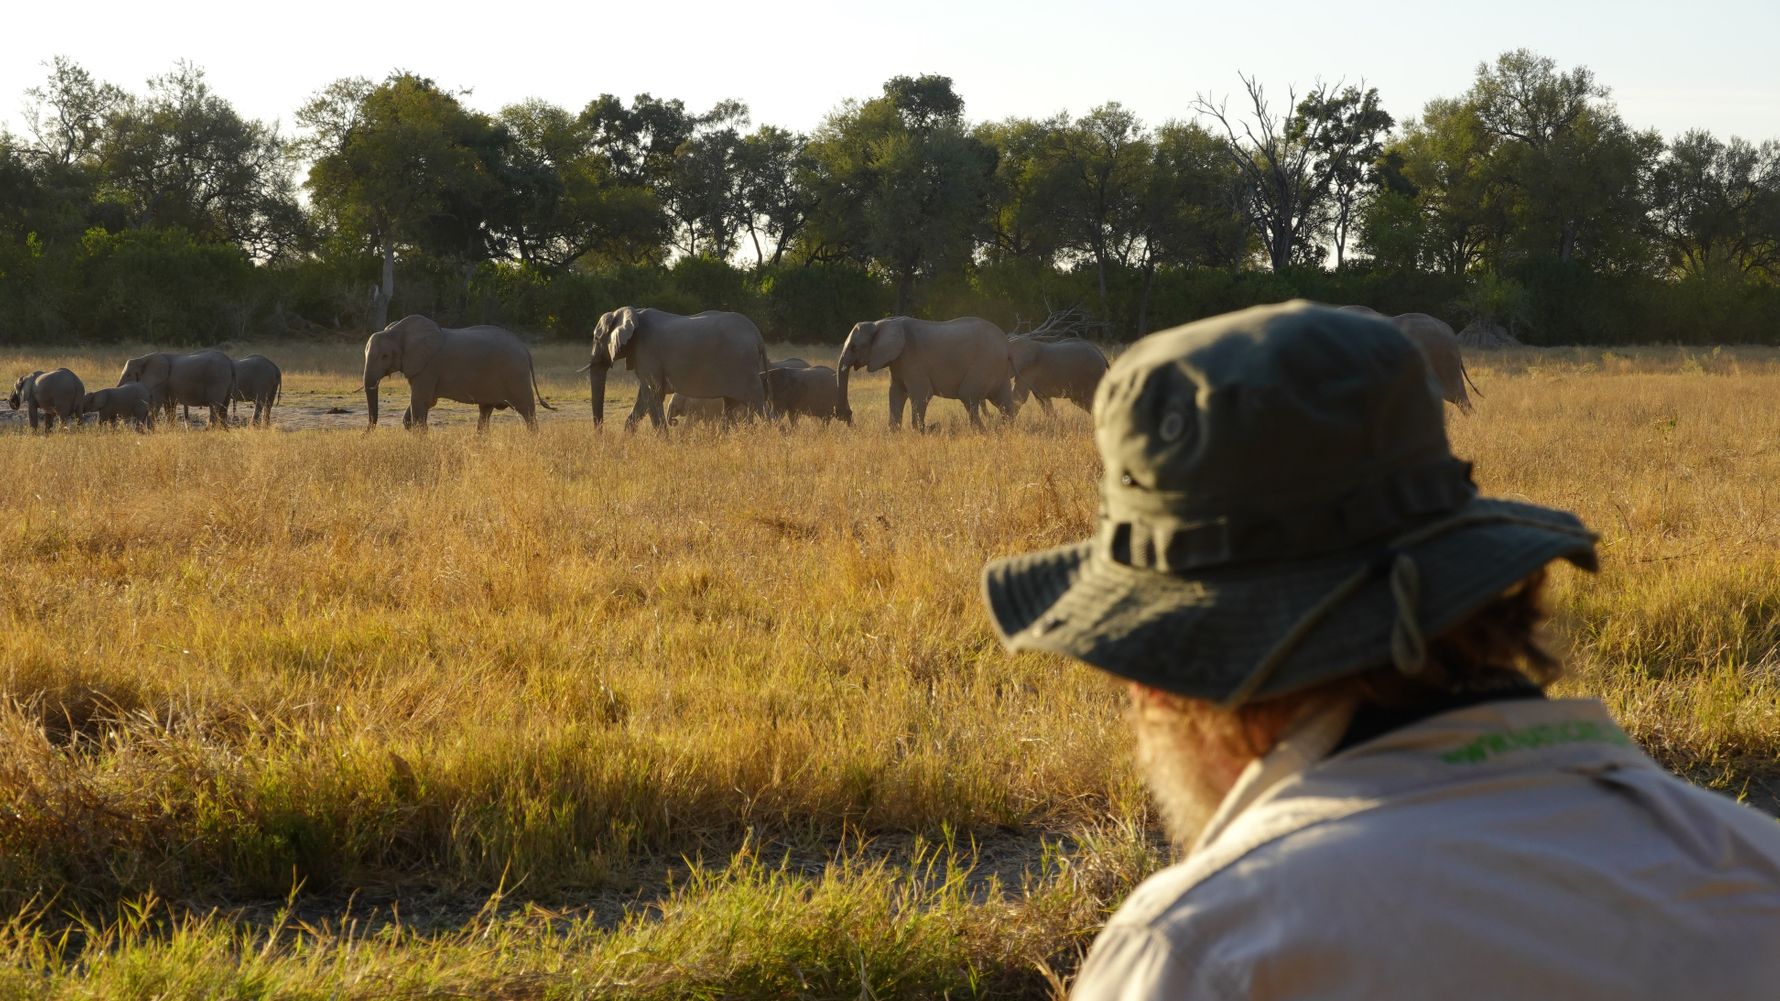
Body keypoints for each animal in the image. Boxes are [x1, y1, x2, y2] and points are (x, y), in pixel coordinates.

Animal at [363, 315, 555, 431]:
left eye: (385, 356)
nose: (365, 434)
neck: (397, 330)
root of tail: (525, 348)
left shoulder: (428, 367)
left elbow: (421, 401)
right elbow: (426, 403)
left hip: (516, 374)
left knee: (527, 411)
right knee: (485, 411)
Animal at [584, 307, 770, 431]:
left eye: (596, 338)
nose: (600, 434)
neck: (633, 312)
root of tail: (758, 336)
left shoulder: (647, 352)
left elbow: (653, 393)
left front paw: (665, 444)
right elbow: (644, 397)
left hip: (743, 367)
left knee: (759, 405)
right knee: (731, 404)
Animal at [835, 316, 1016, 430]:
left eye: (854, 347)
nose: (846, 416)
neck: (880, 323)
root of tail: (1007, 345)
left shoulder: (912, 358)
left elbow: (921, 394)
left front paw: (920, 431)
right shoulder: (898, 361)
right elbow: (895, 394)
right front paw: (893, 433)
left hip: (985, 363)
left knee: (968, 396)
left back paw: (982, 431)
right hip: (997, 369)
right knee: (1003, 401)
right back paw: (1005, 429)